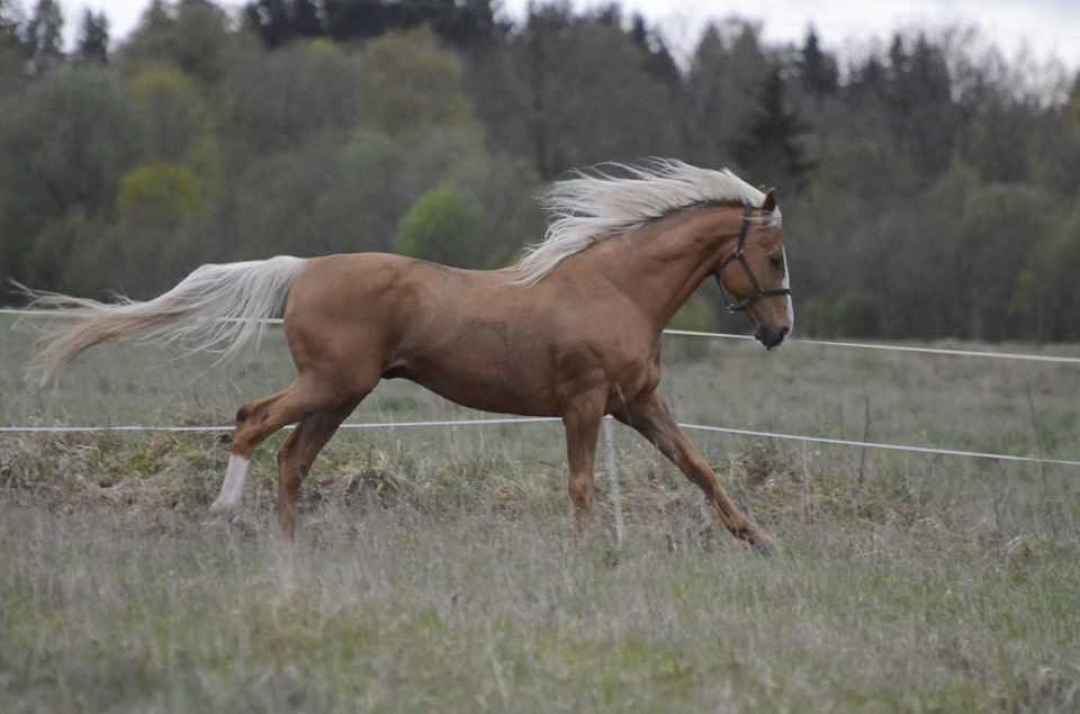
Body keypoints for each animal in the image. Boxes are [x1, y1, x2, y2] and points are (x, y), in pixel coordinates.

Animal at [25, 160, 793, 551]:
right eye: (774, 254)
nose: (780, 330)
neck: (613, 287)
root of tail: (301, 269)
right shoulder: (583, 405)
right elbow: (581, 485)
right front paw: (588, 557)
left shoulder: (636, 404)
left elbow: (698, 465)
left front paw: (758, 539)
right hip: (330, 383)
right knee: (251, 422)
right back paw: (227, 517)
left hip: (342, 395)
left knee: (291, 457)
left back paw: (289, 548)